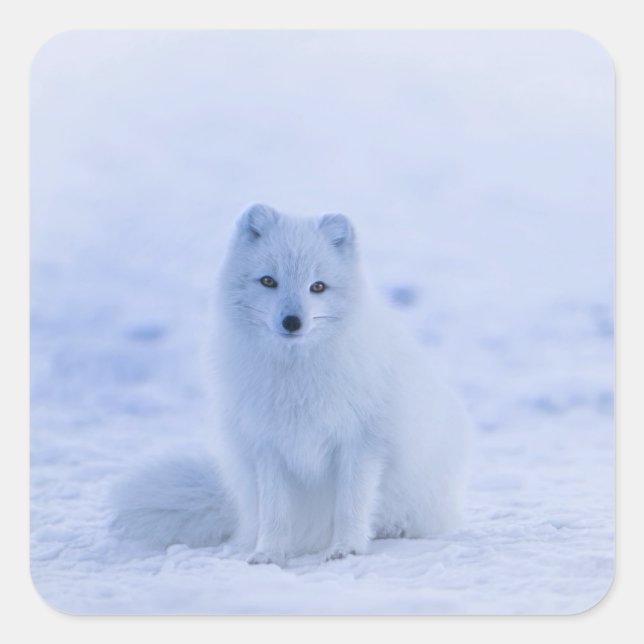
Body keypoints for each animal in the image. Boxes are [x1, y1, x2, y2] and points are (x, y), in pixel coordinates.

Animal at [111, 204, 471, 565]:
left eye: (318, 287)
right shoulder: (268, 446)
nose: (292, 321)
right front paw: (268, 553)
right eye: (269, 281)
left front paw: (346, 548)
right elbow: (275, 512)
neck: (295, 376)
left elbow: (351, 505)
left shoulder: (362, 443)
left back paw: (393, 529)